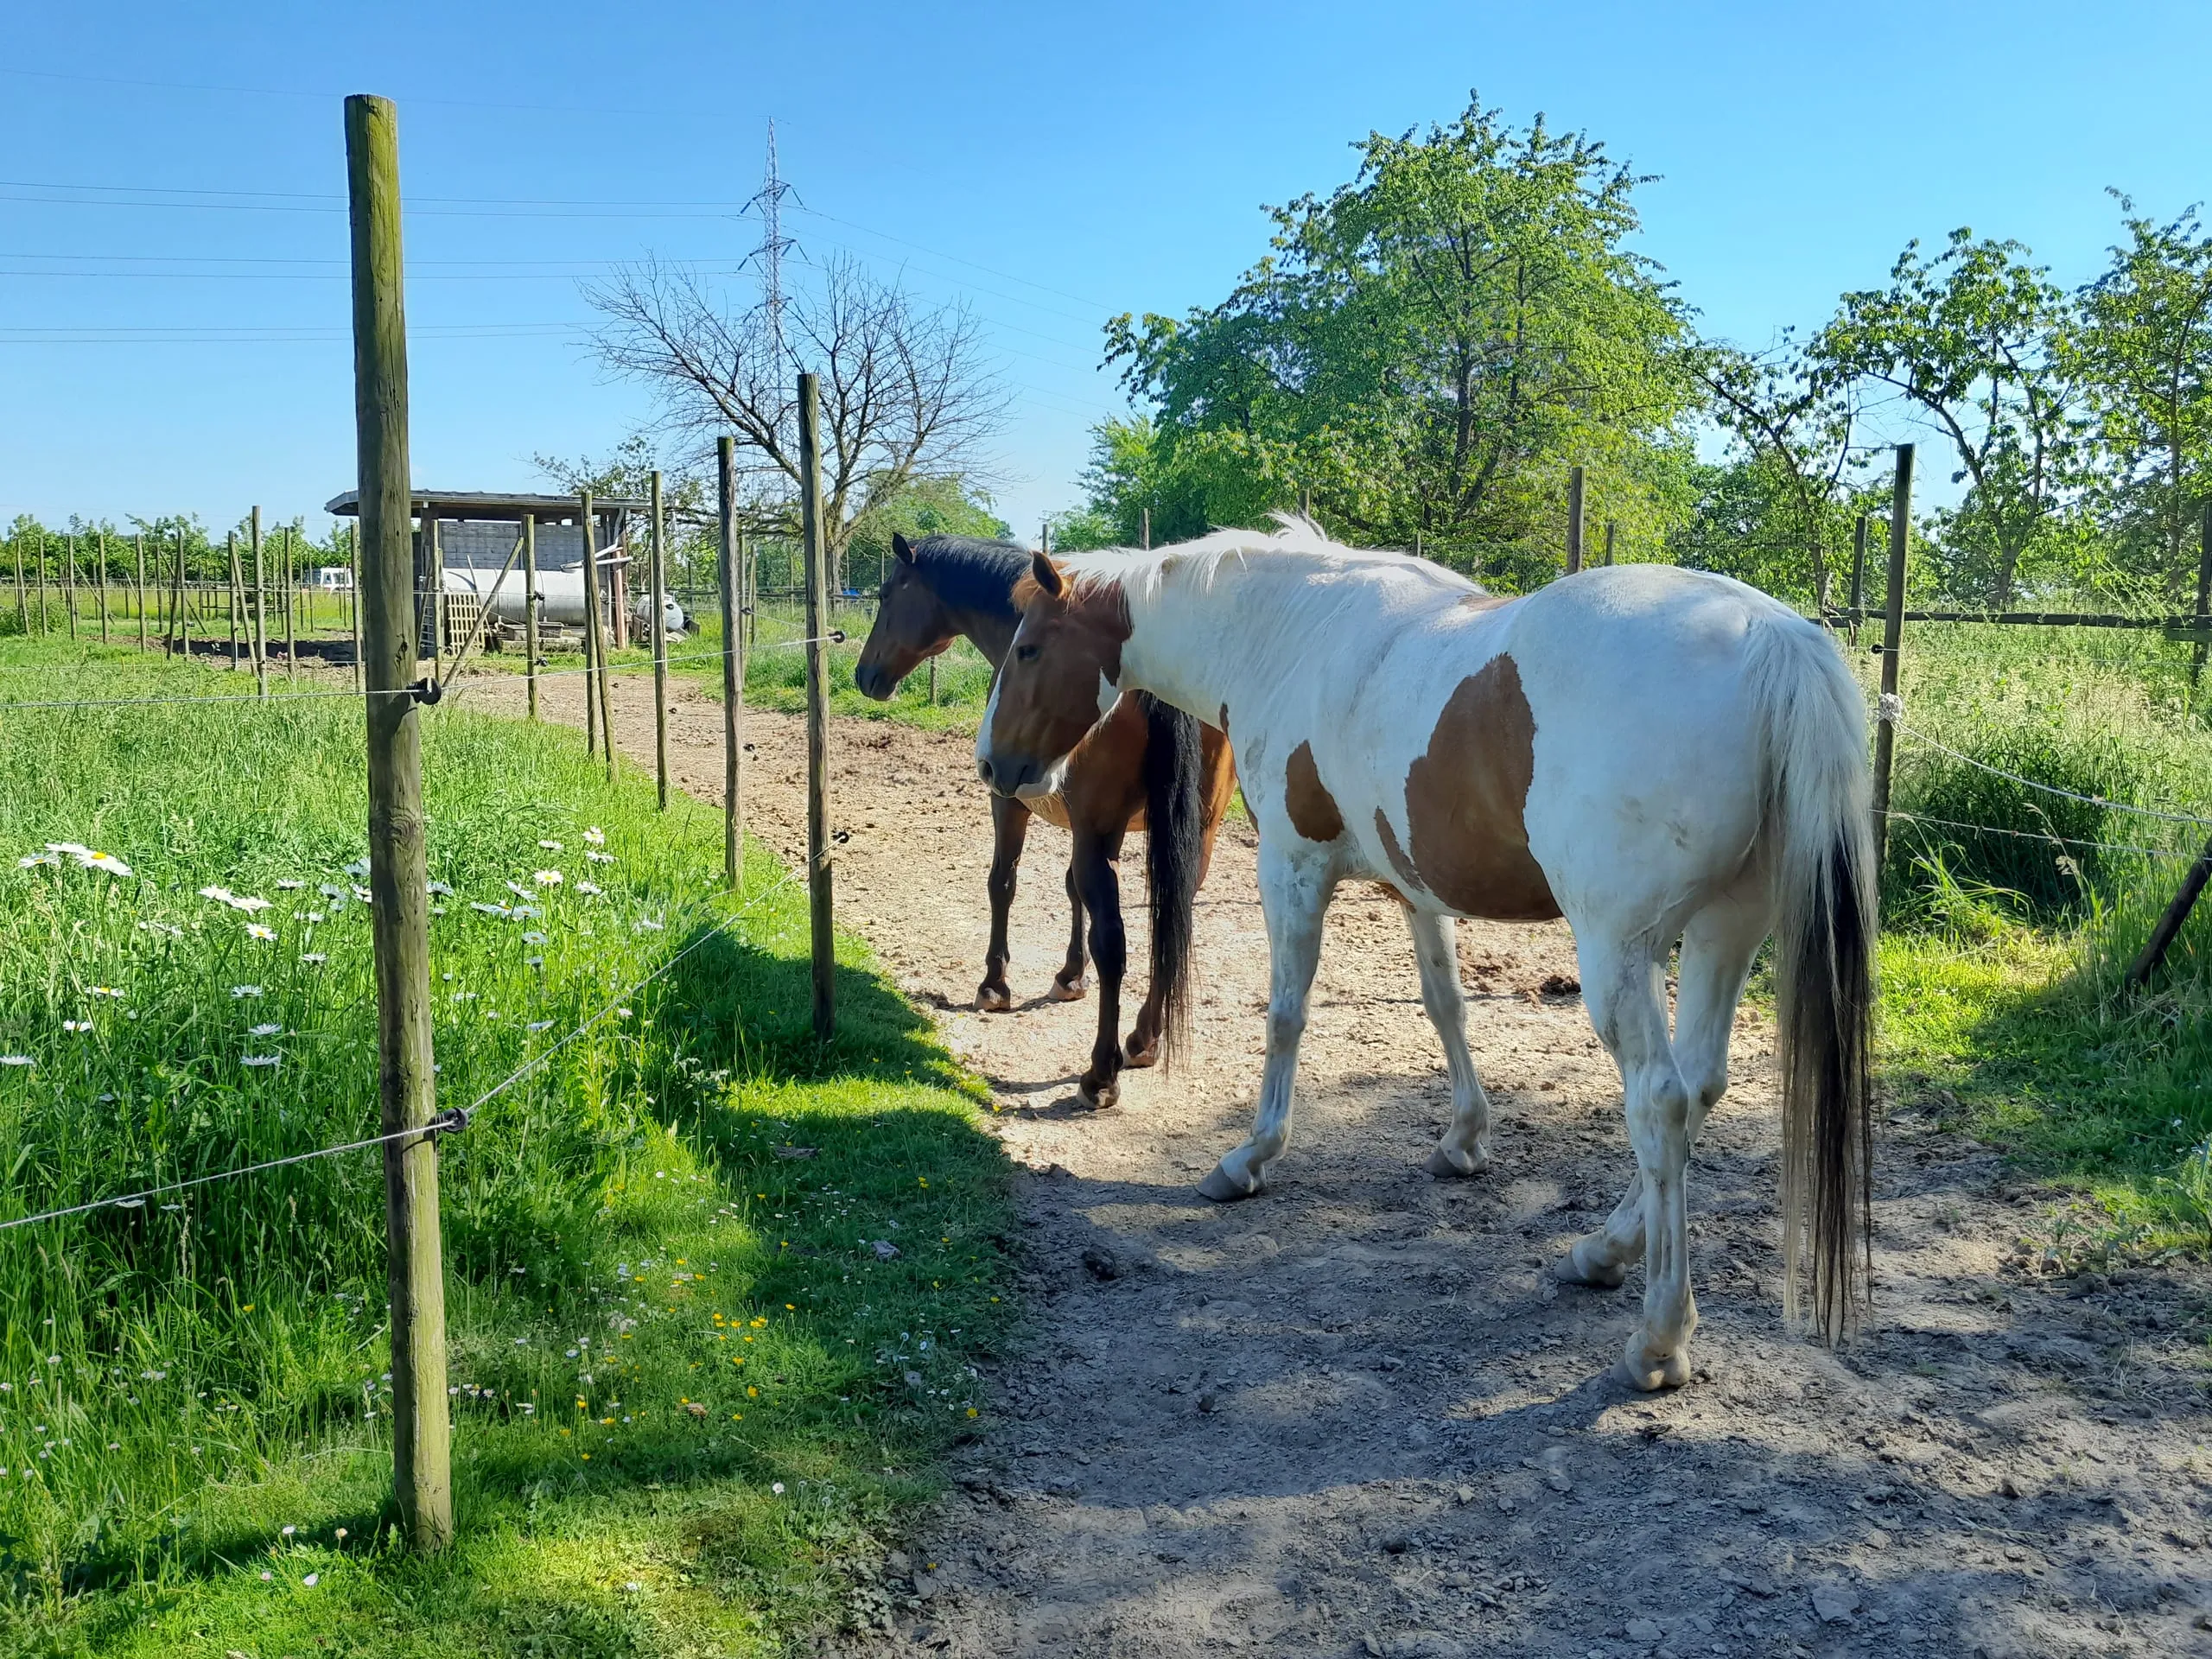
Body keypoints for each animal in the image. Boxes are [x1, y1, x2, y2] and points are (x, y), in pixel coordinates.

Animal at [854, 531, 1240, 1107]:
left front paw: (995, 986)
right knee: (1171, 923)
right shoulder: (1100, 832)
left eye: (886, 595)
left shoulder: (1014, 802)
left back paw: (1101, 1073)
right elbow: (1071, 889)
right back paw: (1143, 1038)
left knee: (1115, 942)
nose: (865, 674)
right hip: (1195, 838)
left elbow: (1003, 883)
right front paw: (1069, 977)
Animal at [974, 520, 1876, 1390]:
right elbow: (1447, 1007)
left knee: (1659, 1105)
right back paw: (1601, 1252)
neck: (1295, 633)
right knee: (1701, 1088)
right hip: (1727, 931)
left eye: (1028, 648)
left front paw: (1250, 1157)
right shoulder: (1414, 888)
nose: (994, 765)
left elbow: (1286, 1017)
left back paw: (1658, 1339)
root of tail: (1773, 638)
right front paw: (1463, 1141)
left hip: (1621, 950)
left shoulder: (1293, 866)